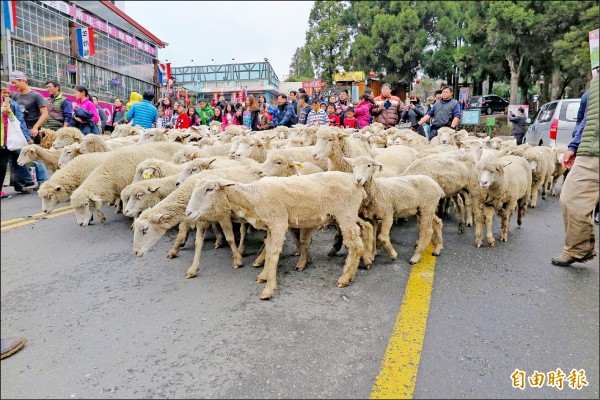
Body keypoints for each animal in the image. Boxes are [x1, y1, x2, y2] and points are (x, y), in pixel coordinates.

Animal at [185, 170, 368, 298]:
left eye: (210, 189)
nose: (188, 213)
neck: (254, 197)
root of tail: (356, 182)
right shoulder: (270, 227)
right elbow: (268, 250)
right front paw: (264, 275)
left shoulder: (279, 223)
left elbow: (273, 254)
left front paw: (268, 288)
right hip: (342, 216)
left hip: (346, 213)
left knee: (356, 245)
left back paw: (345, 278)